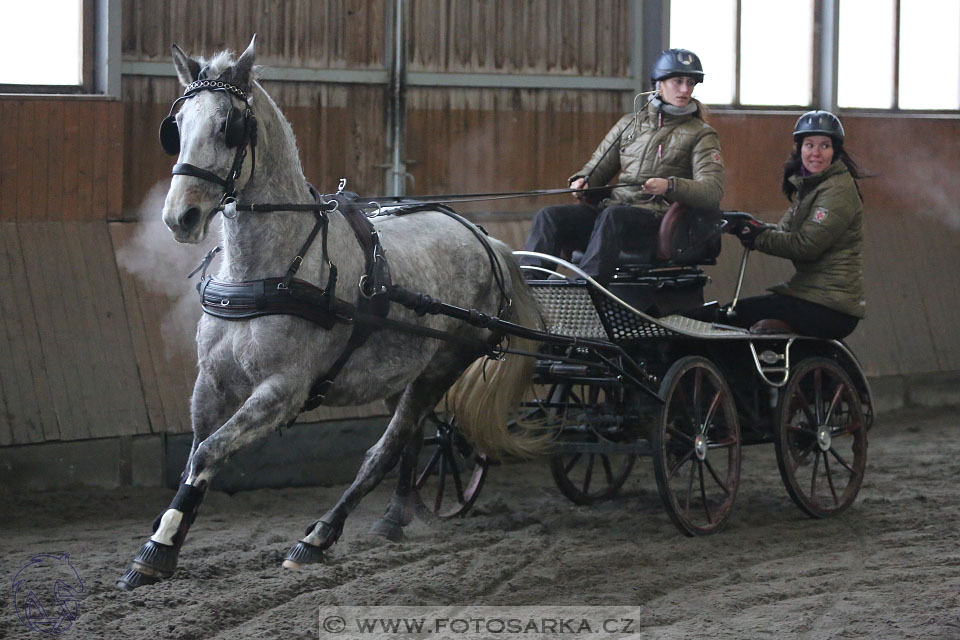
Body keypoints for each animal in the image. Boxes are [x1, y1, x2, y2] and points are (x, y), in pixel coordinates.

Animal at [116, 37, 544, 592]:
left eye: (230, 124)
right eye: (176, 126)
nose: (179, 217)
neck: (269, 269)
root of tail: (486, 240)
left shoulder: (283, 390)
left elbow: (211, 451)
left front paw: (158, 548)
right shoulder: (211, 380)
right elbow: (196, 455)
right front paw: (162, 540)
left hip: (446, 362)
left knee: (386, 447)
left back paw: (318, 537)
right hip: (407, 371)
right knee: (411, 435)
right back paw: (394, 518)